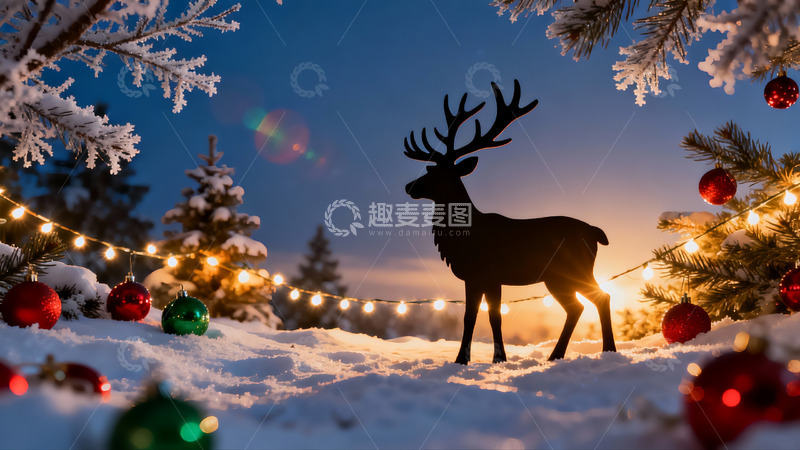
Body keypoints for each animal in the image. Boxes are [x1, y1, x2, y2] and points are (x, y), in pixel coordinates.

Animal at [404, 80, 616, 364]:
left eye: (441, 173)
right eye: (429, 168)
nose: (409, 186)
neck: (466, 238)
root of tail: (594, 233)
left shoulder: (489, 274)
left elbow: (492, 316)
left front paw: (494, 359)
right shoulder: (474, 277)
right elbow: (471, 316)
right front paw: (468, 360)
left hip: (573, 269)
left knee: (600, 297)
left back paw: (607, 351)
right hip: (559, 277)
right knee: (579, 306)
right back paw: (558, 355)